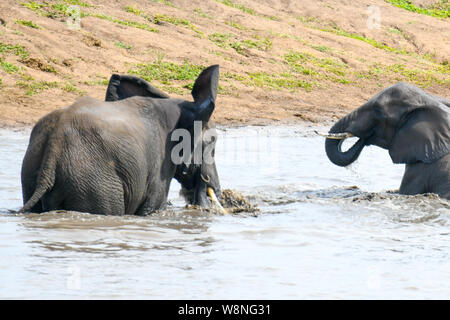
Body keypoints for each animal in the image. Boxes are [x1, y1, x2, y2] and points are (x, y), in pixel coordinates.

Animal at [19, 64, 225, 215]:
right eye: (212, 145)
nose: (213, 187)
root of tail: (54, 146)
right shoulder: (160, 165)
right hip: (93, 180)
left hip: (33, 168)